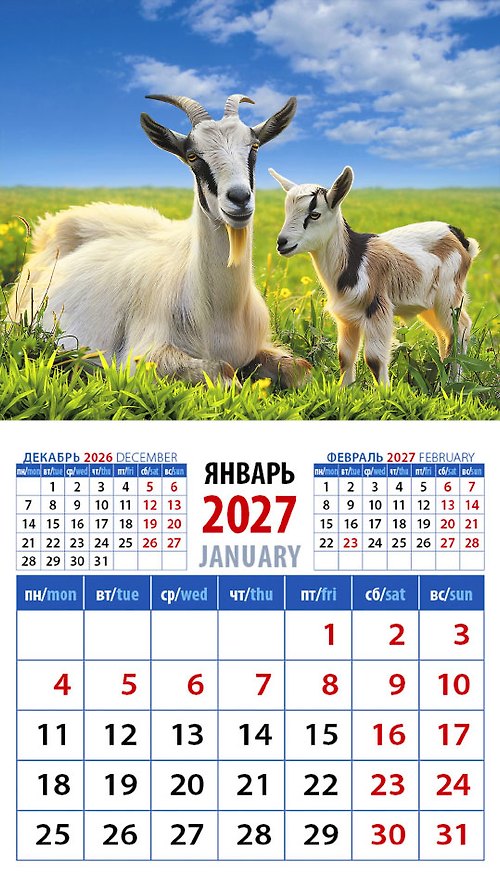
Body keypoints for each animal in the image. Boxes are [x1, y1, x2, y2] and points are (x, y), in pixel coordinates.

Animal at [12, 95, 311, 387]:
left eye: (255, 147)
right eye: (192, 155)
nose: (239, 198)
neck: (220, 315)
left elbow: (301, 369)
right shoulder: (141, 359)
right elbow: (223, 372)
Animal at [269, 165, 479, 386]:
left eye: (315, 214)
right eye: (287, 211)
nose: (282, 242)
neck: (354, 260)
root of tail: (459, 238)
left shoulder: (377, 308)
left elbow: (374, 359)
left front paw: (385, 392)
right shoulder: (347, 318)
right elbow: (344, 356)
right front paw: (345, 390)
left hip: (449, 294)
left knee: (461, 328)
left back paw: (453, 382)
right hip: (430, 303)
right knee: (444, 333)